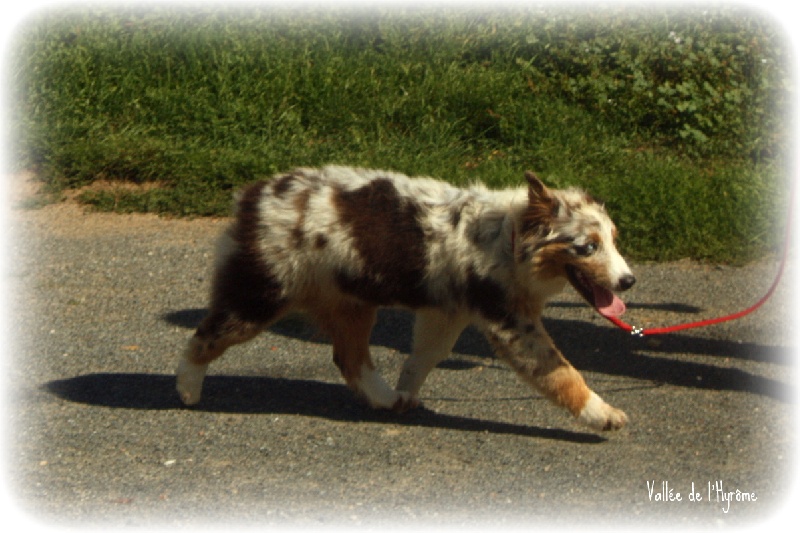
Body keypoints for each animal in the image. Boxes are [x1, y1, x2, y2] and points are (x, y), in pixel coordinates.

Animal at [176, 166, 636, 431]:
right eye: (587, 247)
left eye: (614, 241)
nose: (628, 281)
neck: (509, 236)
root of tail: (253, 195)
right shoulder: (509, 322)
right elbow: (560, 373)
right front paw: (604, 415)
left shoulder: (448, 311)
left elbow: (424, 357)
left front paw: (408, 392)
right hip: (261, 294)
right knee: (204, 336)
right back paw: (187, 390)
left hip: (351, 301)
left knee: (350, 358)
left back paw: (385, 398)